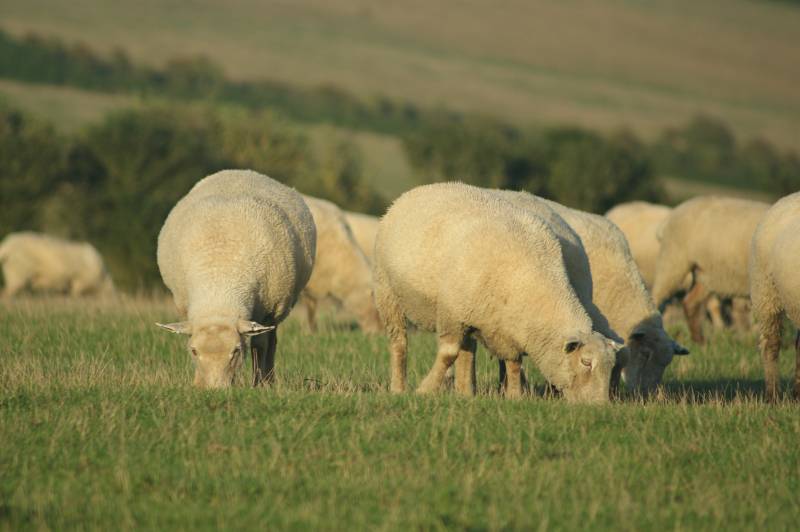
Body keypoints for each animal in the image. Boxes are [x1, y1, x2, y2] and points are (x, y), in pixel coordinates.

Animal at [156, 168, 316, 388]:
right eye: (194, 351)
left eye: (236, 350)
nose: (215, 389)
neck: (219, 281)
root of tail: (242, 171)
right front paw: (197, 383)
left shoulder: (267, 311)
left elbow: (260, 346)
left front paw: (259, 384)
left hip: (278, 309)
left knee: (271, 343)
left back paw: (269, 379)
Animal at [372, 183, 620, 404]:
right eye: (586, 362)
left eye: (611, 367)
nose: (599, 406)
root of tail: (414, 192)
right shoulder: (452, 313)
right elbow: (448, 354)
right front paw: (425, 390)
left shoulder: (507, 328)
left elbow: (513, 363)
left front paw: (514, 397)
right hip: (386, 291)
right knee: (399, 343)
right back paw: (399, 387)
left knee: (467, 351)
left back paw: (465, 392)